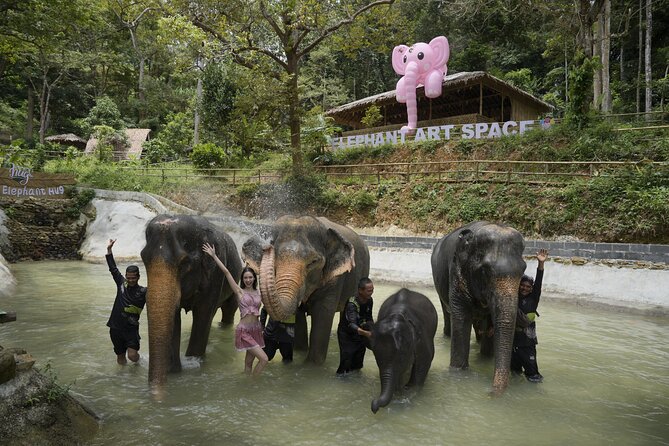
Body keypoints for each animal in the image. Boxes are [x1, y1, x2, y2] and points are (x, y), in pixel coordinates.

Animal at [140, 214, 242, 388]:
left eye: (183, 263)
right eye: (143, 259)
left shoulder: (216, 273)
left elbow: (203, 314)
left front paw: (194, 362)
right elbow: (174, 317)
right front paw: (173, 370)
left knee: (229, 309)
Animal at [242, 215, 369, 365]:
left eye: (313, 262)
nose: (267, 246)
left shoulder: (334, 280)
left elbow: (322, 313)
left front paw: (312, 366)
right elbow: (297, 315)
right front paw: (299, 353)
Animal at [431, 221, 526, 395]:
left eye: (523, 270)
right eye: (485, 270)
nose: (491, 392)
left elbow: (489, 323)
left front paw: (485, 359)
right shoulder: (457, 274)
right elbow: (461, 318)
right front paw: (458, 373)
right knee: (447, 313)